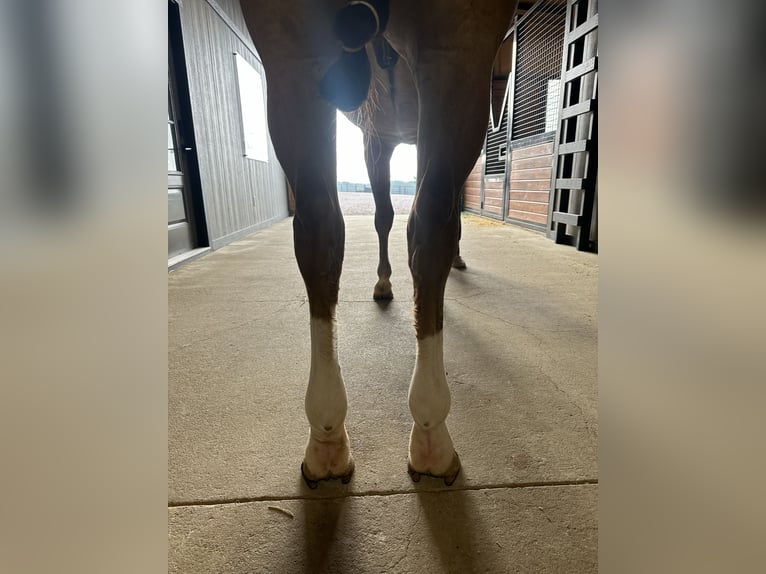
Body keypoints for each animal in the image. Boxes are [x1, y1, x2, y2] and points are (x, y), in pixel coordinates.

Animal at [240, 0, 516, 488]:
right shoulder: (378, 137)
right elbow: (392, 216)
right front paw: (388, 283)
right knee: (401, 221)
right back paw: (417, 431)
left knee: (332, 224)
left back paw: (338, 435)